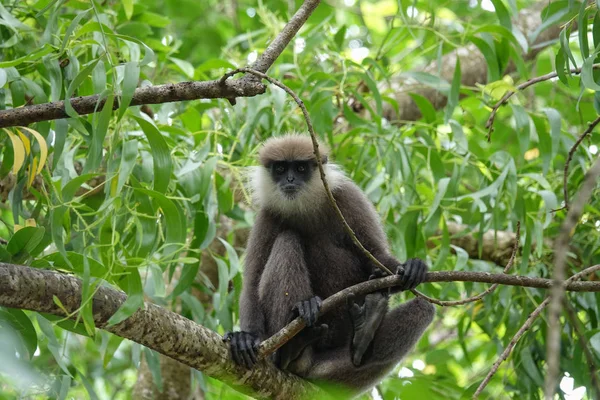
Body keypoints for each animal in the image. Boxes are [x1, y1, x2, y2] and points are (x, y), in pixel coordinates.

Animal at [223, 134, 434, 394]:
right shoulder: (267, 216)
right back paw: (295, 343)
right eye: (280, 169)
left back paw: (363, 333)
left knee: (424, 308)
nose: (290, 179)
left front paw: (409, 267)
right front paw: (245, 337)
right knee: (287, 240)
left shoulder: (348, 197)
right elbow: (252, 283)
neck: (304, 208)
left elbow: (376, 259)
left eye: (300, 168)